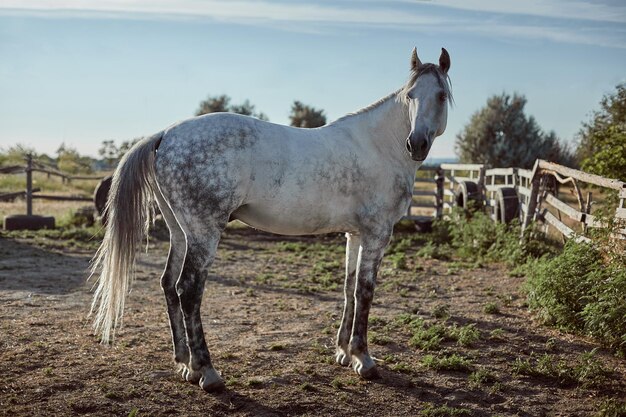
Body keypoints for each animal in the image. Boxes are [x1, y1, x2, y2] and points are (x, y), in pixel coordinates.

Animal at [90, 47, 450, 392]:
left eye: (441, 95)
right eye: (410, 95)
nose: (416, 144)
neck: (379, 146)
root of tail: (164, 134)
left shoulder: (356, 234)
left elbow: (349, 288)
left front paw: (344, 353)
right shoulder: (377, 233)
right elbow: (365, 290)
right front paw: (364, 359)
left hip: (181, 232)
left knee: (168, 284)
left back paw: (185, 364)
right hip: (204, 233)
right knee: (187, 290)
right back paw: (207, 372)